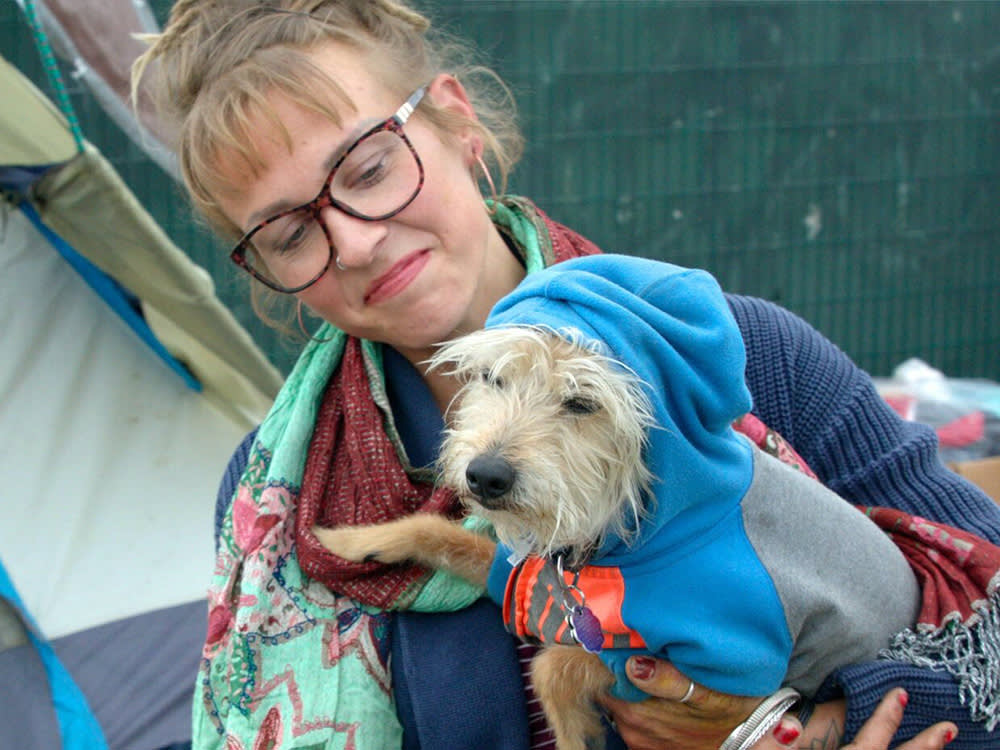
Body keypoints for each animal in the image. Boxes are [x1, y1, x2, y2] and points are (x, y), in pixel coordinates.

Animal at [316, 256, 916, 750]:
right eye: (493, 377)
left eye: (583, 403)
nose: (485, 475)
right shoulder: (519, 580)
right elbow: (437, 531)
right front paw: (351, 538)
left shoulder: (729, 673)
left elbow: (556, 666)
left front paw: (573, 737)